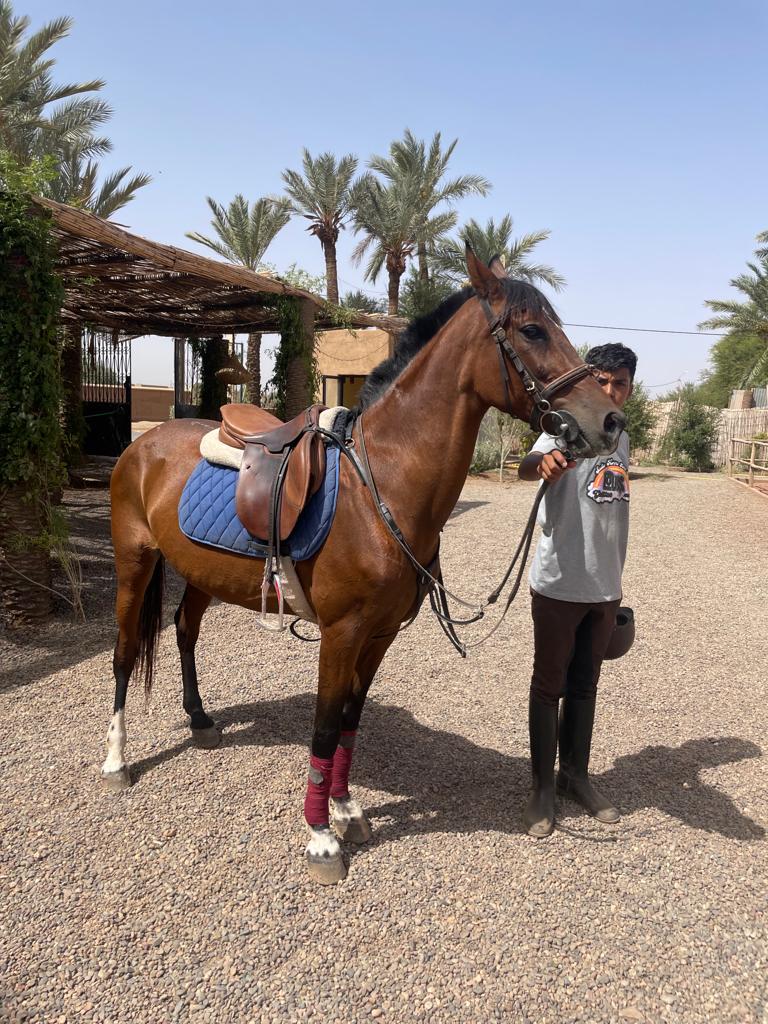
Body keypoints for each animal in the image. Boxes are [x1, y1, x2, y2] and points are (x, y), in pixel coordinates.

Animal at [102, 249, 625, 884]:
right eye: (531, 330)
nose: (610, 421)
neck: (382, 485)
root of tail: (142, 444)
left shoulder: (379, 635)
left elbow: (350, 720)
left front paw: (347, 809)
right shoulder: (341, 633)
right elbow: (326, 726)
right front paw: (321, 837)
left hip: (203, 573)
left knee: (183, 630)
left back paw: (201, 721)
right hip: (134, 562)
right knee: (125, 651)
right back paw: (116, 760)